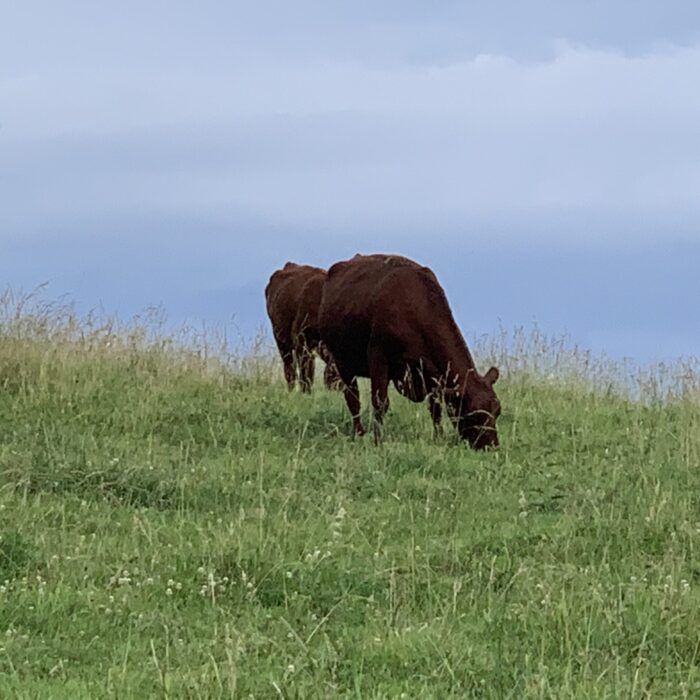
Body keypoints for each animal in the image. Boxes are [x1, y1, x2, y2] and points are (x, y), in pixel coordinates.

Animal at [320, 253, 500, 448]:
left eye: (497, 410)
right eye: (475, 414)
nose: (492, 446)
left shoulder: (431, 373)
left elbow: (435, 407)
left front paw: (438, 438)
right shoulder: (378, 356)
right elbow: (380, 402)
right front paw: (378, 442)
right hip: (343, 363)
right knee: (353, 399)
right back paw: (359, 433)